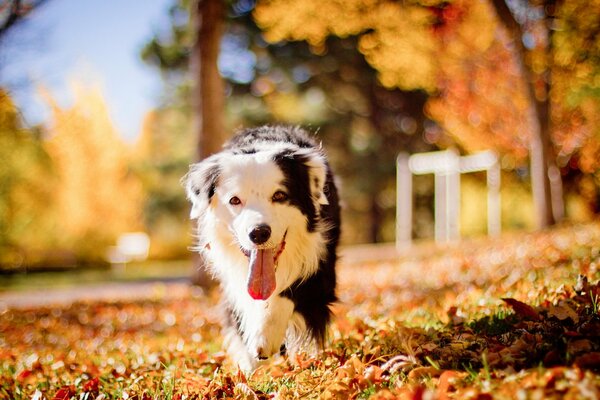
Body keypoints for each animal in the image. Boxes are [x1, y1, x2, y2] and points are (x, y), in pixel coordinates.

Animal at [183, 126, 340, 372]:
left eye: (280, 195)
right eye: (235, 200)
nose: (258, 233)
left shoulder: (322, 270)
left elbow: (290, 291)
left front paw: (264, 337)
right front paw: (251, 364)